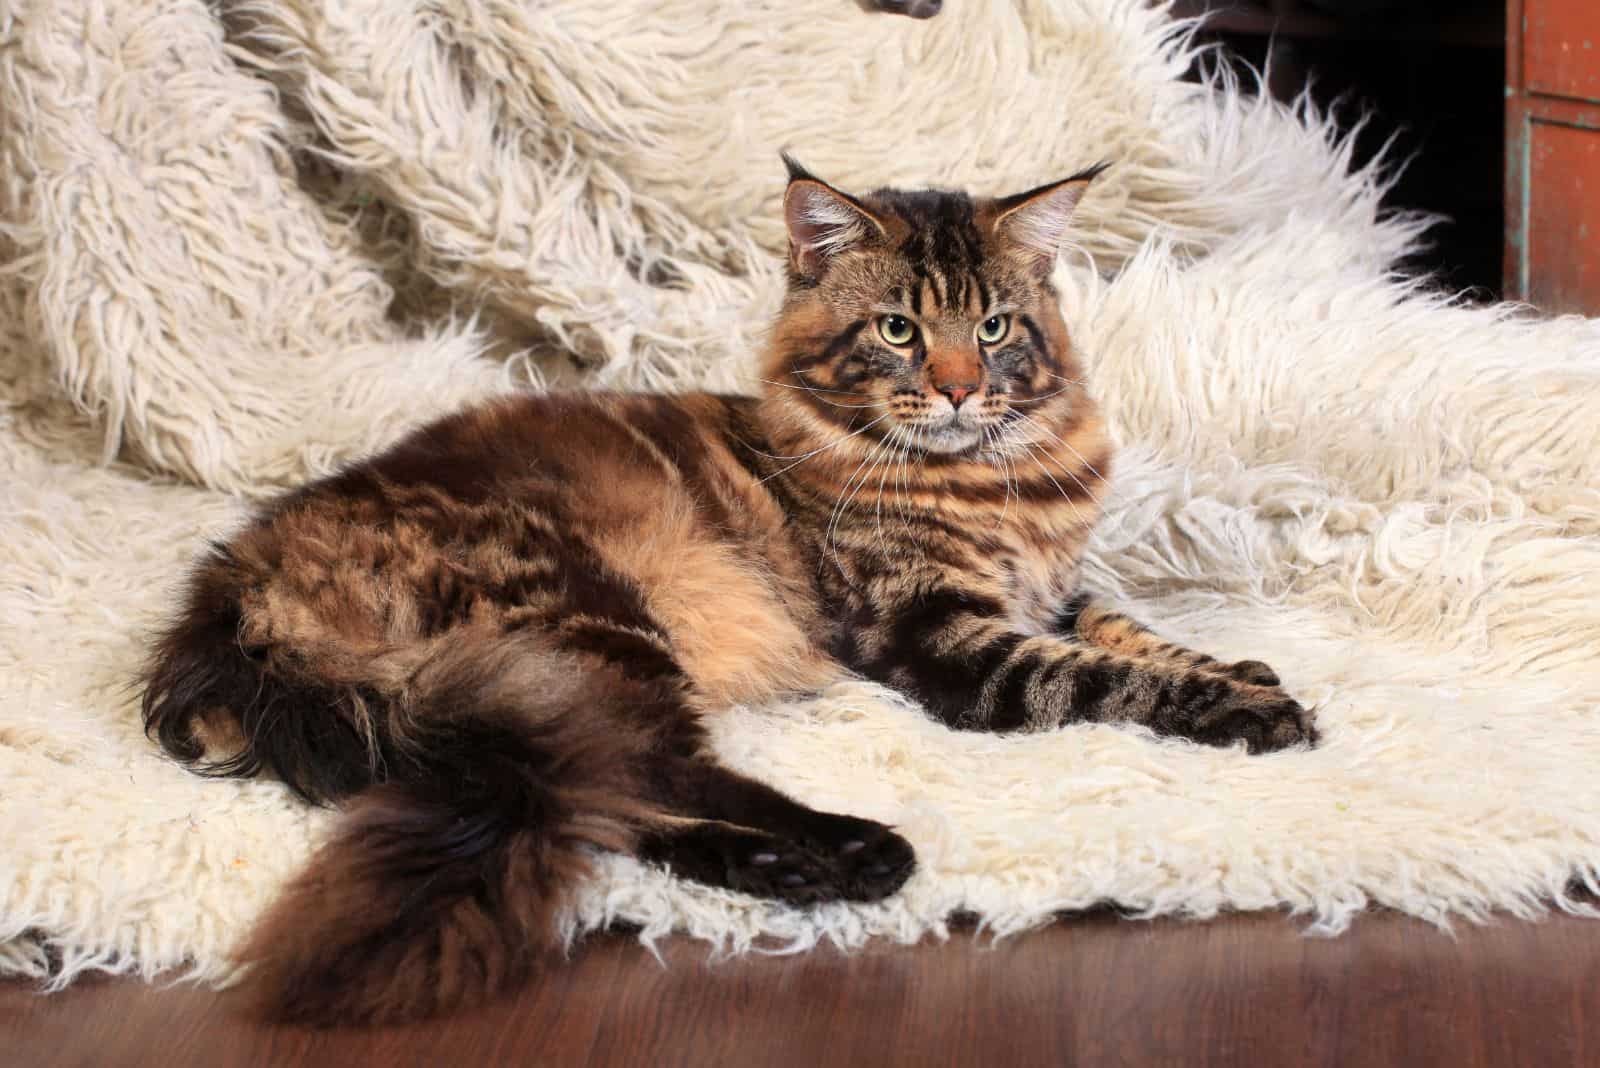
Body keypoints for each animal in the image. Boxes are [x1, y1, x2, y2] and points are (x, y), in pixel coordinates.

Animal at [140, 156, 1312, 1023]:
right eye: (898, 330)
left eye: (993, 328)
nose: (957, 388)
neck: (995, 479)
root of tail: (239, 584)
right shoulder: (942, 638)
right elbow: (1106, 679)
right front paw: (1254, 712)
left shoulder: (1049, 592)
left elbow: (1133, 633)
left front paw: (1251, 672)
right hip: (591, 625)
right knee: (645, 775)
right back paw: (859, 851)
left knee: (604, 804)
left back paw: (794, 873)